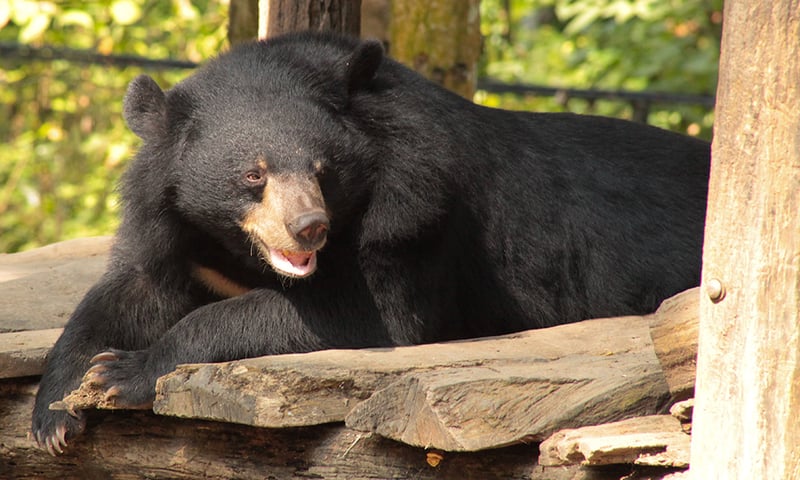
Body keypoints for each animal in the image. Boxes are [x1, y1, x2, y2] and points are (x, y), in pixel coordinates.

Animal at [31, 31, 710, 455]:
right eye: (253, 176)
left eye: (323, 169)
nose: (309, 227)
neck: (236, 248)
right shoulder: (173, 224)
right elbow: (129, 291)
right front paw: (58, 412)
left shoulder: (417, 208)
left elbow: (365, 311)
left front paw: (124, 372)